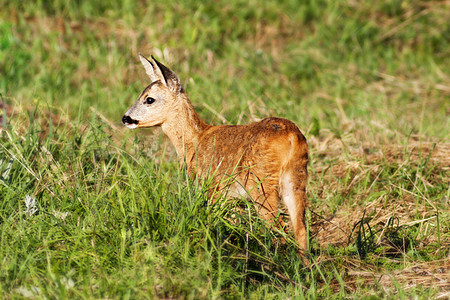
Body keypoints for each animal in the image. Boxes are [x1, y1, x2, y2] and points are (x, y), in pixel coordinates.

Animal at [122, 55, 310, 262]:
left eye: (149, 99)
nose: (125, 118)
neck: (194, 141)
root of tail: (292, 136)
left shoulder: (212, 187)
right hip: (296, 177)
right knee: (300, 229)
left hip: (260, 182)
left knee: (278, 227)